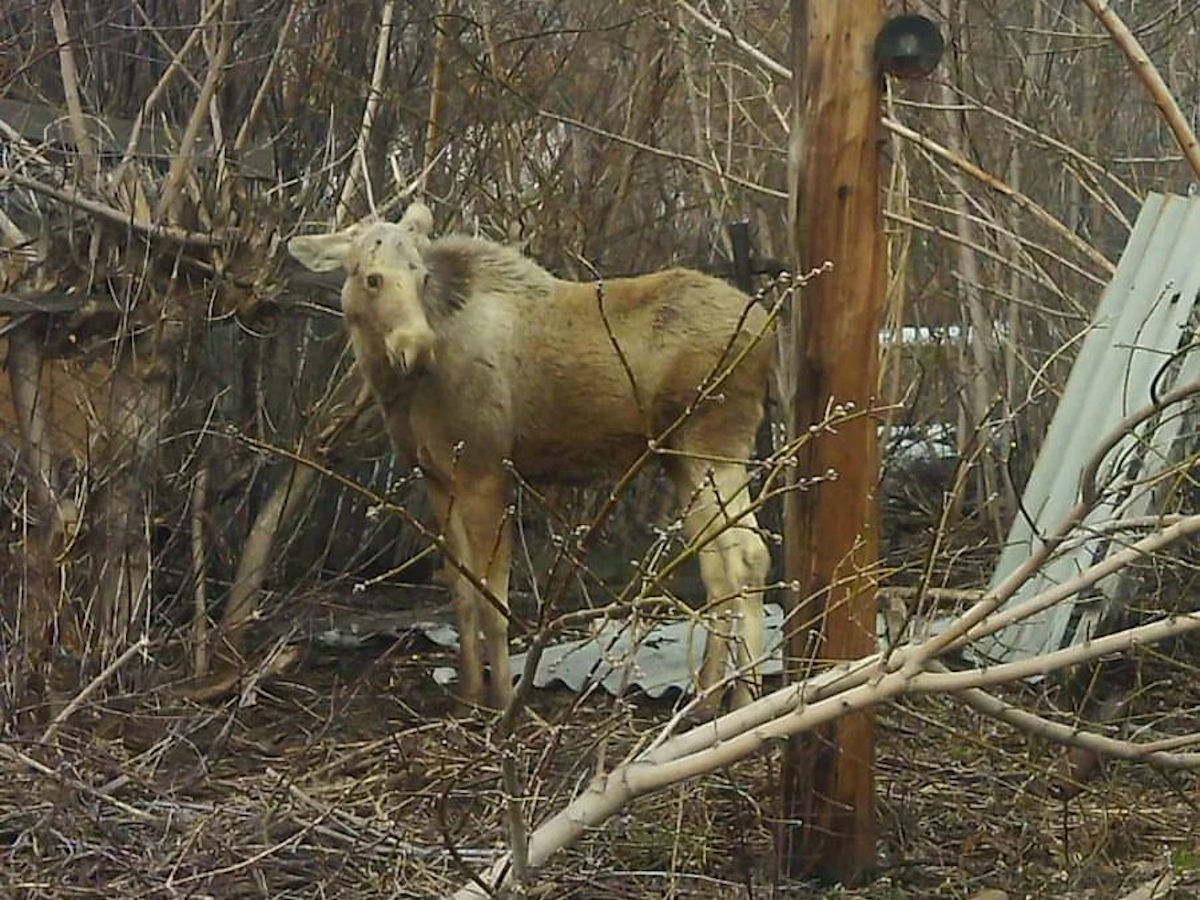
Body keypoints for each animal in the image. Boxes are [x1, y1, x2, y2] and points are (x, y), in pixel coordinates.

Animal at [291, 204, 777, 710]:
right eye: (372, 278)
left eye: (421, 276)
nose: (416, 347)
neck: (398, 391)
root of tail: (769, 331)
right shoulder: (437, 474)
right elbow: (461, 592)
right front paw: (468, 698)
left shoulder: (485, 471)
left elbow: (494, 599)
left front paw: (504, 701)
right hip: (681, 459)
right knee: (718, 571)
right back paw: (707, 697)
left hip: (715, 445)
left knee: (749, 556)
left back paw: (745, 700)